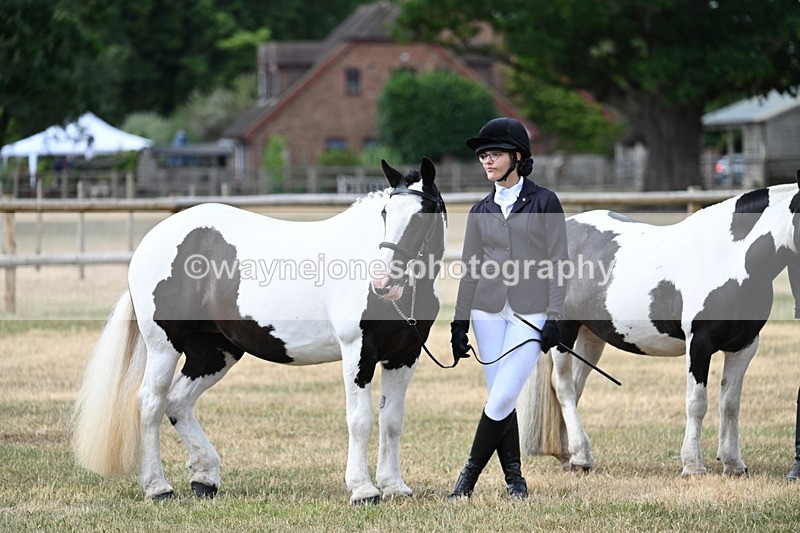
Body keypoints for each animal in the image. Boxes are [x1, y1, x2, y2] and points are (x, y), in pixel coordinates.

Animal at [71, 157, 447, 505]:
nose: (384, 284)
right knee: (151, 402)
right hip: (165, 345)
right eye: (385, 213)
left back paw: (205, 478)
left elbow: (392, 421)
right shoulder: (358, 351)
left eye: (421, 216)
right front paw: (363, 490)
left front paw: (394, 486)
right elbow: (360, 419)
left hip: (215, 351)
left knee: (178, 400)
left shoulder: (404, 356)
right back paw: (158, 487)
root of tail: (151, 241)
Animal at [518, 179, 800, 477]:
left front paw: (733, 463)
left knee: (574, 386)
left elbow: (730, 404)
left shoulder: (744, 345)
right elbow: (697, 402)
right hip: (564, 330)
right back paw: (581, 455)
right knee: (563, 387)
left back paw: (571, 455)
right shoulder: (699, 344)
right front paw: (693, 466)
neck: (727, 258)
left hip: (590, 337)